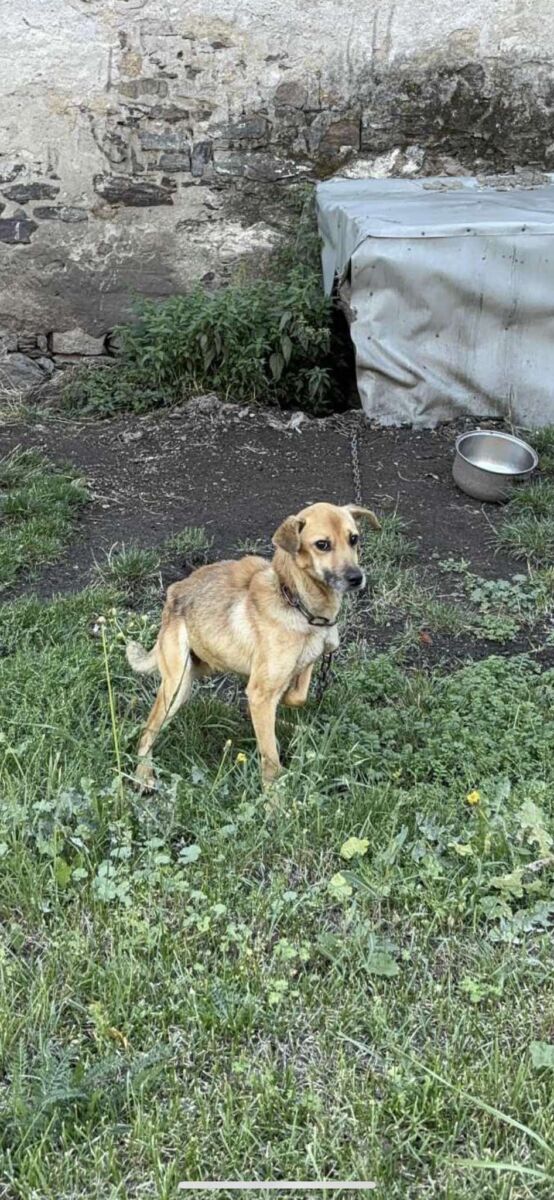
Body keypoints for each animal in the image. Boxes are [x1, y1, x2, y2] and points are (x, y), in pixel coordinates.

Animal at [126, 501, 380, 788]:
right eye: (322, 544)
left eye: (354, 539)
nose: (356, 578)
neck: (295, 601)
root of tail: (173, 594)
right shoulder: (260, 693)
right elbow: (270, 758)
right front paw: (273, 796)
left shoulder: (304, 663)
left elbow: (298, 696)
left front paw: (287, 709)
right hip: (177, 686)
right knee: (147, 731)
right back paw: (143, 773)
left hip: (202, 667)